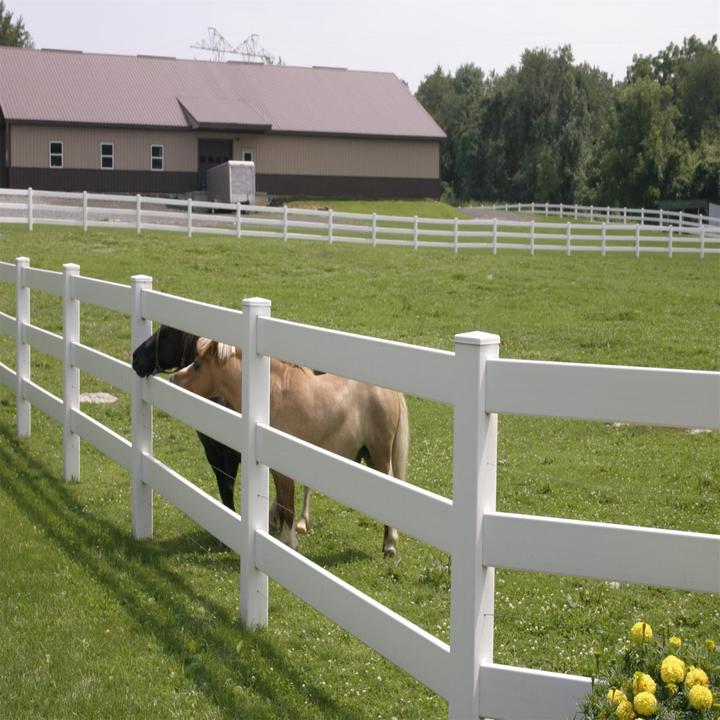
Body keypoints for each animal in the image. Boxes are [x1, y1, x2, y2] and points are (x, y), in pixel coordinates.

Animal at [131, 326, 312, 534]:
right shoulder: (212, 450)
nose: (135, 357)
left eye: (167, 330)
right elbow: (224, 485)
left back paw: (301, 521)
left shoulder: (230, 452)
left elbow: (228, 486)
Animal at [170, 338, 408, 556]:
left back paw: (389, 545)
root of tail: (389, 392)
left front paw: (290, 543)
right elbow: (284, 504)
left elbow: (288, 507)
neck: (271, 396)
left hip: (379, 454)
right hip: (369, 455)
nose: (173, 379)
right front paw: (285, 538)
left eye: (197, 364)